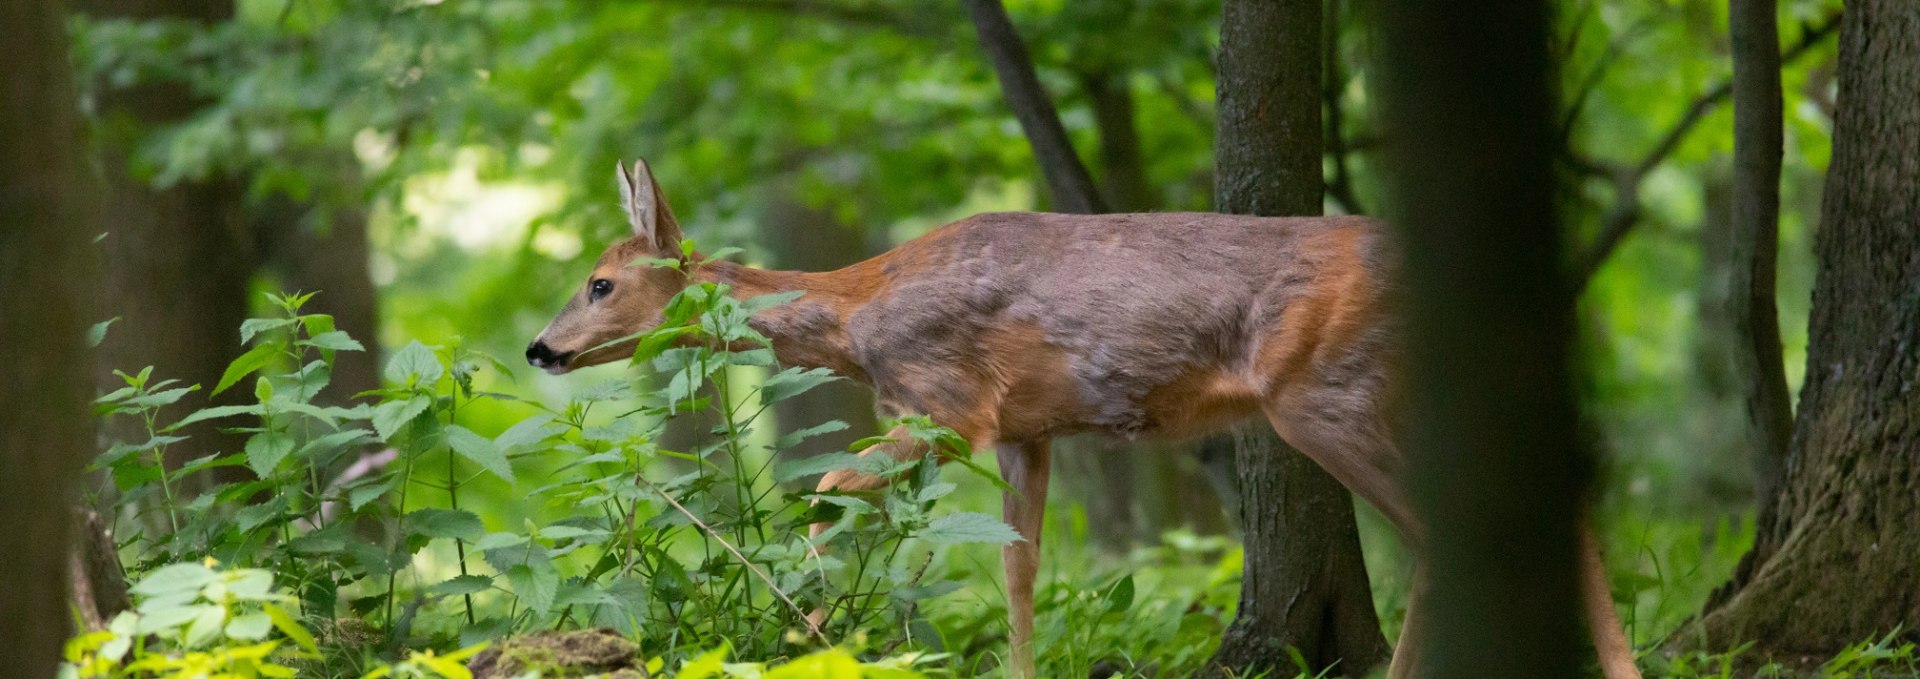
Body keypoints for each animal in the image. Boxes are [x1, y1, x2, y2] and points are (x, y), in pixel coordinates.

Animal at [529, 159, 1651, 679]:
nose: (540, 348)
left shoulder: (950, 403)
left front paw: (811, 623)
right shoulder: (1028, 431)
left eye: (597, 283)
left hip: (1325, 394)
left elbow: (831, 489)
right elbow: (1019, 572)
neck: (855, 315)